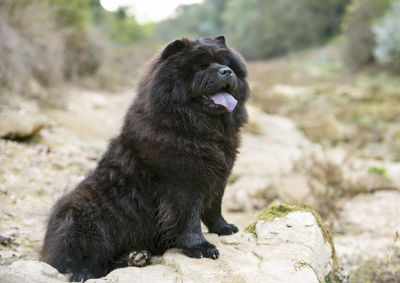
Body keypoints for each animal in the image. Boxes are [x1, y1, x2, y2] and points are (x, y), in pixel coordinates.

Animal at [40, 36, 248, 282]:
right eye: (200, 67)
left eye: (226, 64)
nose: (227, 72)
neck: (200, 131)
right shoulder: (183, 186)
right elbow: (189, 221)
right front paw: (201, 248)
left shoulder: (218, 177)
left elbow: (214, 208)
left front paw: (224, 228)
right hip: (85, 221)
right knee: (81, 259)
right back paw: (84, 272)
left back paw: (137, 256)